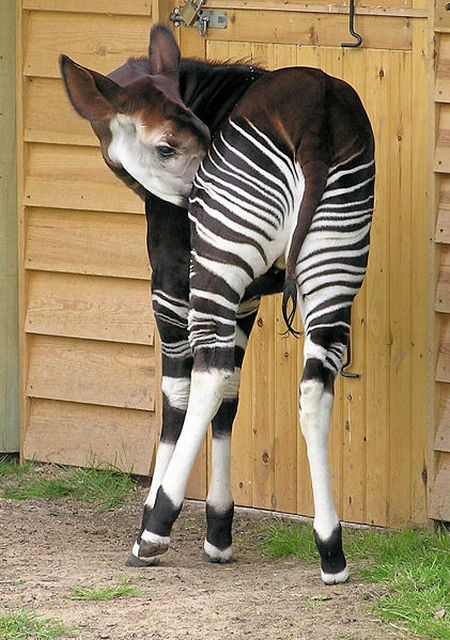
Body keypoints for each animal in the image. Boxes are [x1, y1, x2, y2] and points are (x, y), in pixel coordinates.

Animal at [60, 24, 374, 585]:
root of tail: (318, 121)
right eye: (168, 146)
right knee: (315, 388)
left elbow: (179, 398)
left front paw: (156, 513)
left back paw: (154, 532)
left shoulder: (170, 286)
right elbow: (232, 396)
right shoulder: (246, 299)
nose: (197, 198)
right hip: (335, 263)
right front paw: (220, 532)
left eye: (207, 136)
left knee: (206, 377)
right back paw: (331, 549)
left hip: (216, 266)